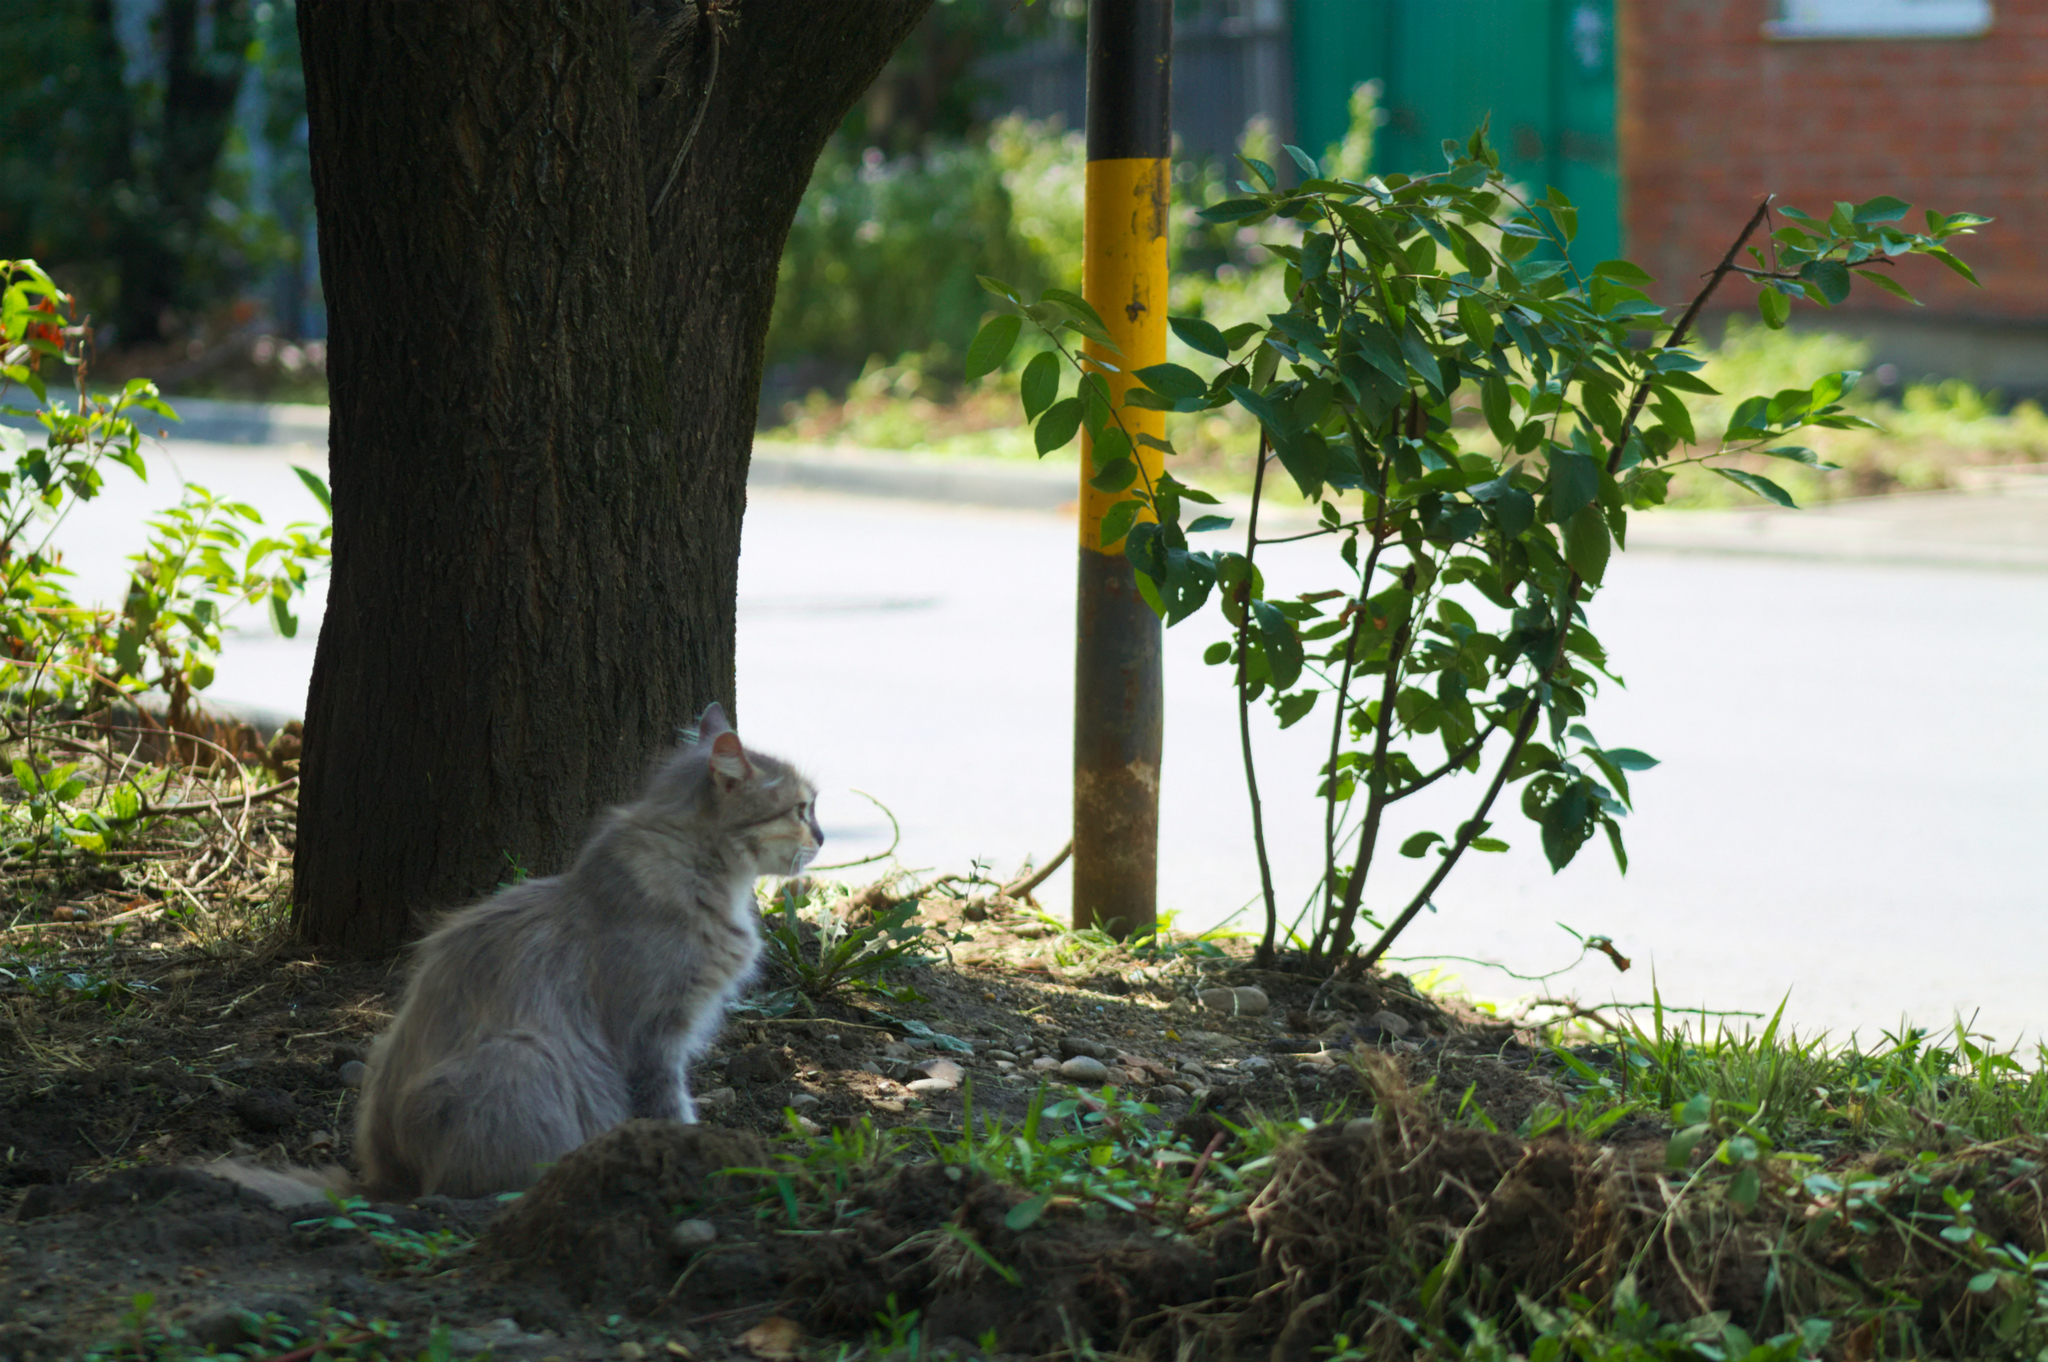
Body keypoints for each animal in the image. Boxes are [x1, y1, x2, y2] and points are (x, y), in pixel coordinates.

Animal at [352, 704, 823, 1196]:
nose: (824, 837)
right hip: (521, 1055)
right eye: (801, 809)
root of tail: (384, 1176)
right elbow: (668, 1107)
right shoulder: (650, 1037)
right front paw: (692, 1152)